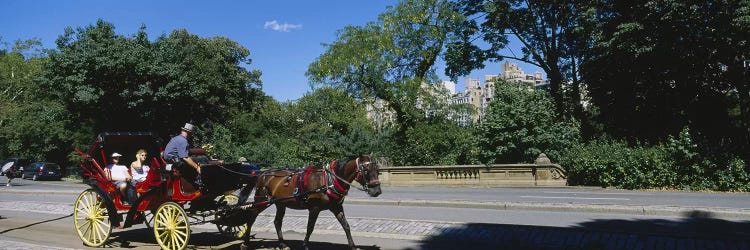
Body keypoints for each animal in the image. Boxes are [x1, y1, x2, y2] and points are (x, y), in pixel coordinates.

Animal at [242, 155, 382, 249]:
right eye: (366, 171)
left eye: (377, 170)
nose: (377, 191)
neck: (329, 180)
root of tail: (262, 173)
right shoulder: (314, 208)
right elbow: (310, 227)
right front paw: (305, 245)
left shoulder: (336, 207)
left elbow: (346, 226)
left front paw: (353, 246)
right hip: (263, 200)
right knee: (251, 216)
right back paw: (246, 242)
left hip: (280, 204)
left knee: (277, 222)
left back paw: (282, 243)